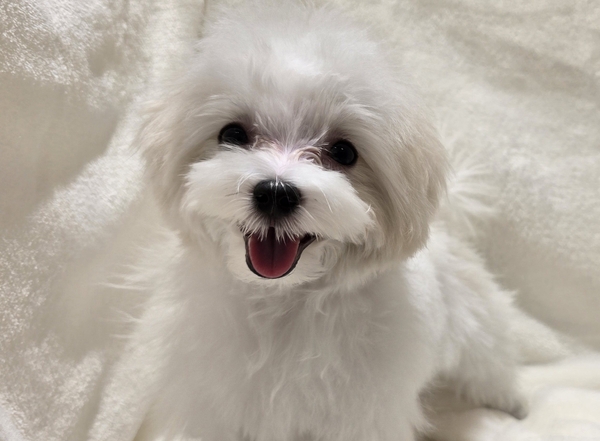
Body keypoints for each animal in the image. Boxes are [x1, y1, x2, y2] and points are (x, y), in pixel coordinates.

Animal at [127, 2, 527, 440]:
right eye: (232, 134)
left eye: (343, 152)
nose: (275, 192)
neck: (282, 299)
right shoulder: (210, 401)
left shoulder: (362, 415)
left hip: (476, 319)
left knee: (489, 361)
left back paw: (511, 403)